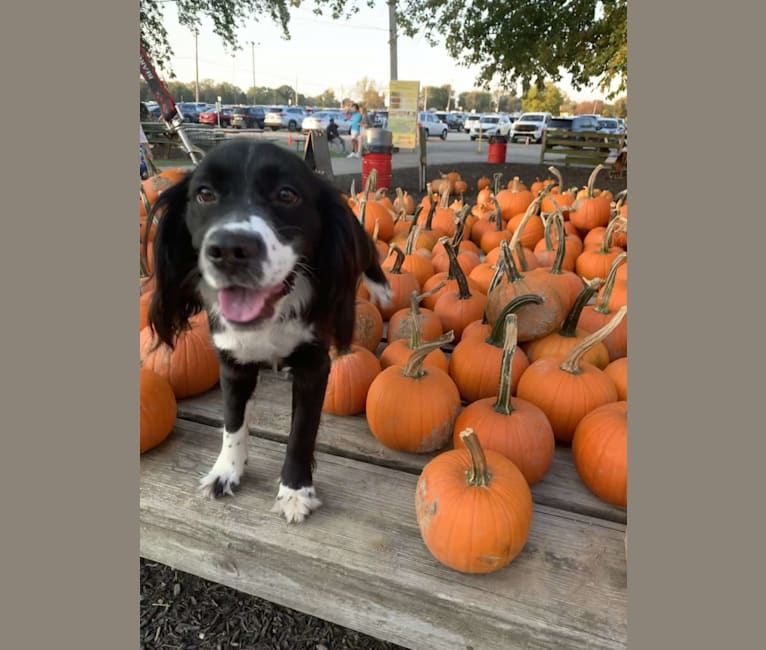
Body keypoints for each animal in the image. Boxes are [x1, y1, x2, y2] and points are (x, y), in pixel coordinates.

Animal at [148, 140, 392, 520]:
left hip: (360, 241)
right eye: (204, 194)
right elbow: (233, 421)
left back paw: (381, 289)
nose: (230, 249)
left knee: (370, 256)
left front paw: (295, 491)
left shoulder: (314, 365)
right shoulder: (232, 362)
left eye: (286, 194)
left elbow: (301, 432)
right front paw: (226, 471)